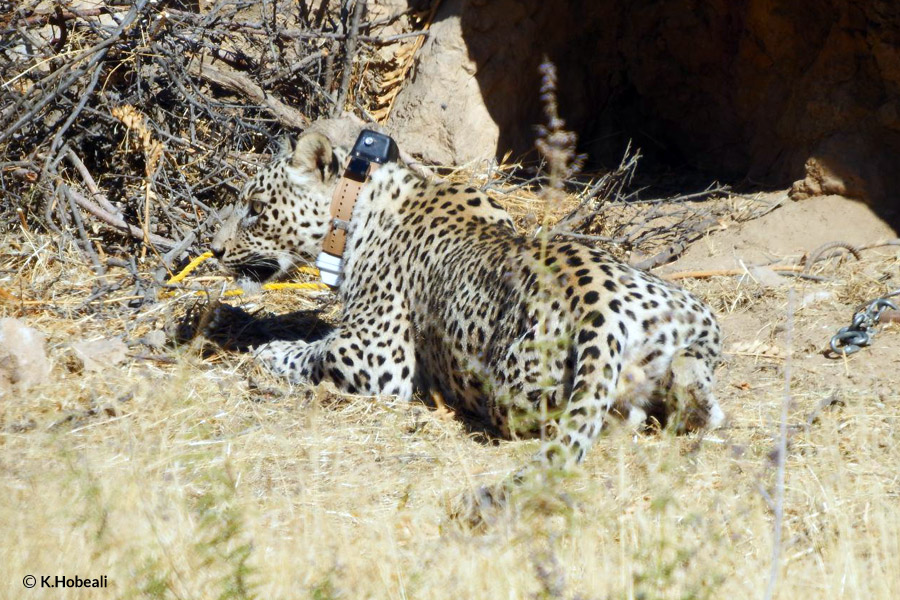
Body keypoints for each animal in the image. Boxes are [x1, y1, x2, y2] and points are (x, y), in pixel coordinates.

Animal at [211, 132, 724, 482]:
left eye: (256, 208)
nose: (214, 250)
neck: (358, 198)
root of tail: (603, 305)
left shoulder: (373, 355)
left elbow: (311, 349)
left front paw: (269, 351)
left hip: (514, 392)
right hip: (698, 312)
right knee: (692, 383)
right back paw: (698, 401)